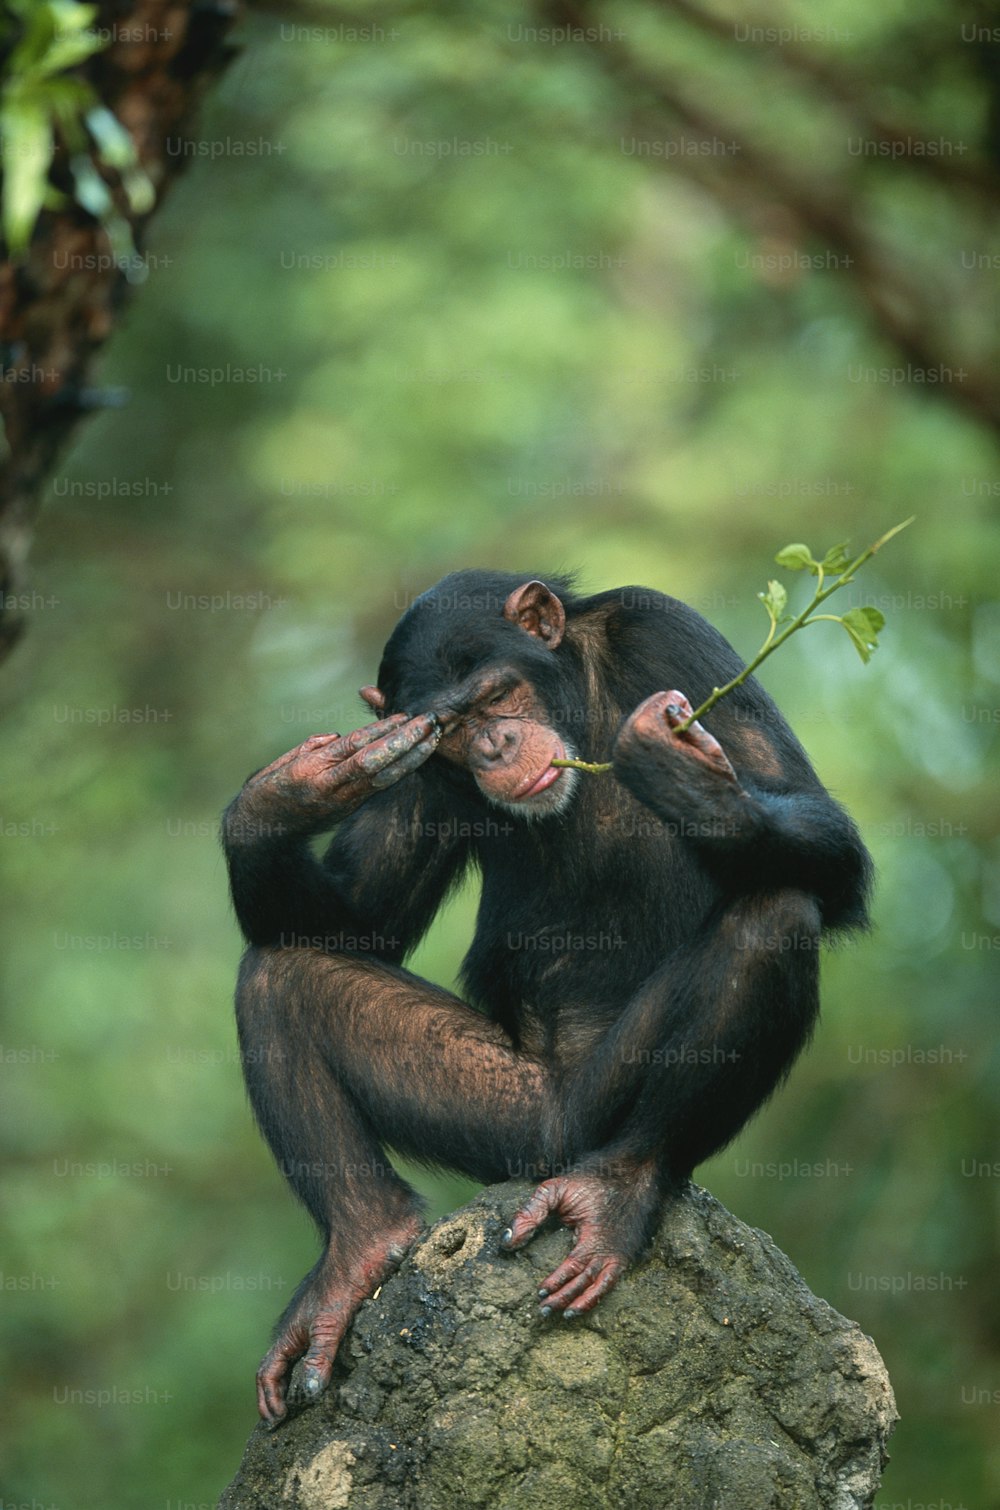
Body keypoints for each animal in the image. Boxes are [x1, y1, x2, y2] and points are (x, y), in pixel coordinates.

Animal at [223, 567, 876, 1425]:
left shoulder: (667, 633)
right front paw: (289, 796)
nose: (494, 745)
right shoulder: (415, 754)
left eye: (497, 696)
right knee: (280, 971)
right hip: (507, 1124)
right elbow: (363, 922)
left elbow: (815, 827)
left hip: (600, 1106)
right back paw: (360, 1248)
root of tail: (556, 1143)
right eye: (452, 727)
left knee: (775, 915)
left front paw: (685, 780)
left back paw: (617, 1192)